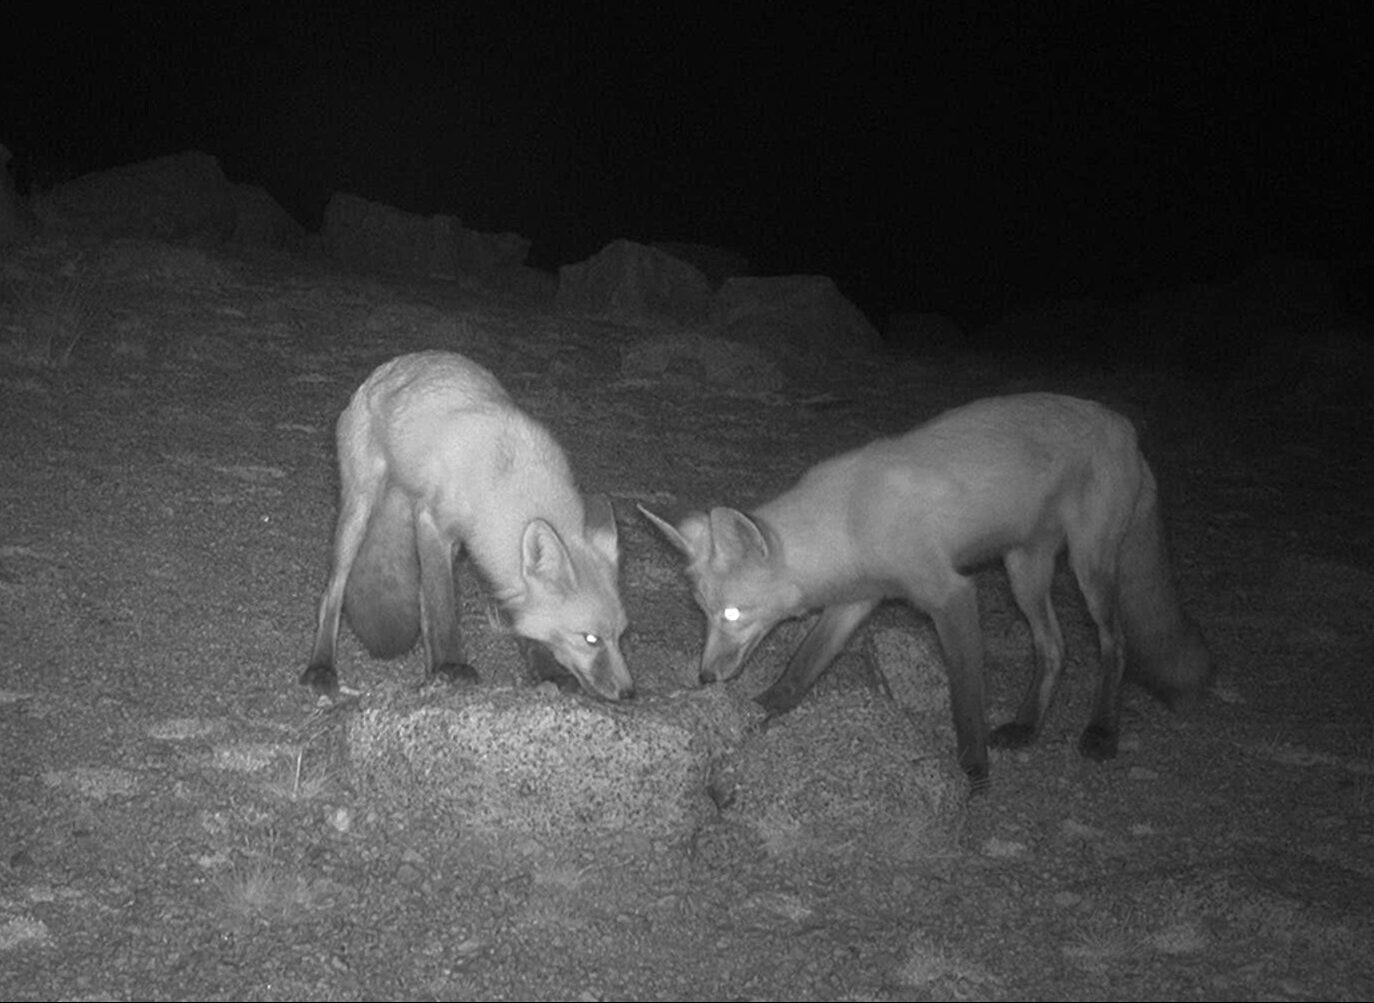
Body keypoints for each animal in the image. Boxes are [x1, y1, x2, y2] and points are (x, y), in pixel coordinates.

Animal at [302, 350, 634, 702]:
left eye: (620, 637)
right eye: (590, 639)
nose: (629, 693)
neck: (506, 481)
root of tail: (396, 364)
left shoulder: (479, 544)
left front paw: (547, 671)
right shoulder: (433, 522)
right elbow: (443, 606)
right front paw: (452, 664)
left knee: (422, 602)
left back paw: (430, 671)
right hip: (359, 510)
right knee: (332, 594)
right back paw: (322, 667)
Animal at [641, 392, 1211, 788]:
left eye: (734, 615)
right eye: (705, 614)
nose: (705, 677)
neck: (848, 524)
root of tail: (1122, 425)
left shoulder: (951, 595)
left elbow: (965, 696)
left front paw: (974, 769)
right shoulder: (857, 601)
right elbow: (799, 670)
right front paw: (759, 711)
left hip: (1090, 570)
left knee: (1115, 645)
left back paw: (1101, 731)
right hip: (1024, 571)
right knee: (1055, 648)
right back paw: (1026, 726)